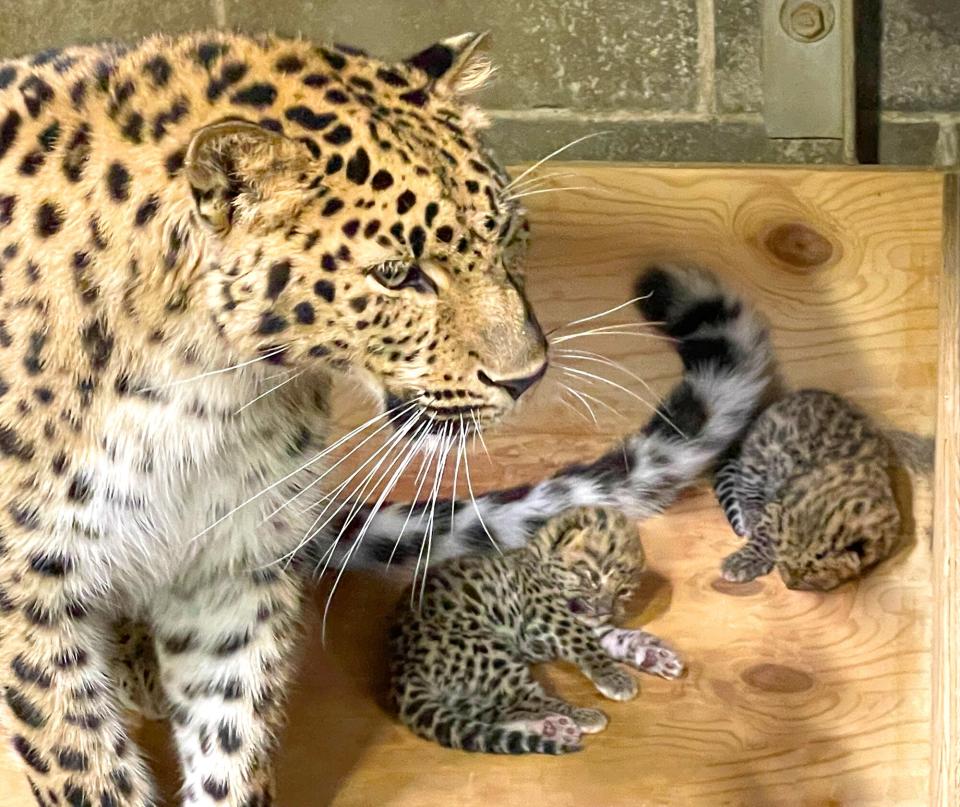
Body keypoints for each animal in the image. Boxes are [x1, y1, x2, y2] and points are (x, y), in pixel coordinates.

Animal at [0, 31, 776, 807]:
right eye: (398, 275)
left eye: (508, 234)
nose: (527, 376)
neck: (206, 389)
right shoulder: (26, 597)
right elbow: (83, 764)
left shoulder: (234, 559)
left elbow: (230, 739)